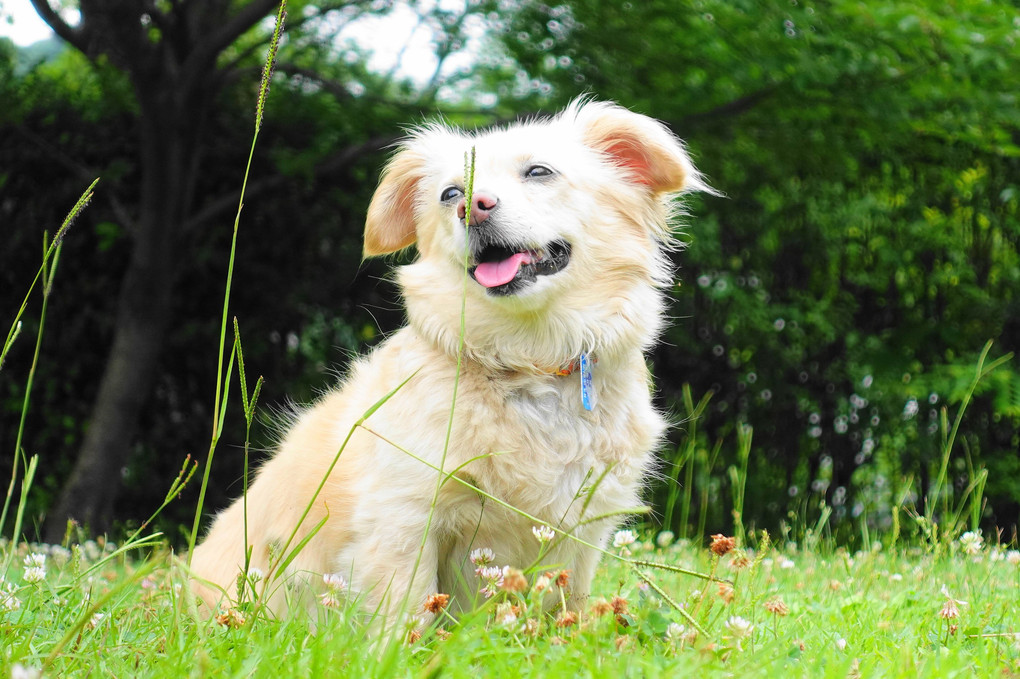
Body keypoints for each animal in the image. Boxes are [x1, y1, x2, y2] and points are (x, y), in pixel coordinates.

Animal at [187, 97, 705, 628]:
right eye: (450, 192)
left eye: (539, 172)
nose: (471, 206)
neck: (528, 360)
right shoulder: (404, 518)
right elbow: (405, 610)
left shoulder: (585, 531)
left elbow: (571, 604)